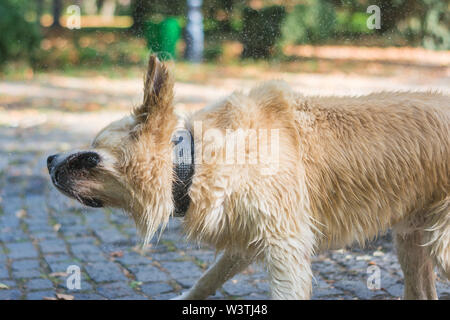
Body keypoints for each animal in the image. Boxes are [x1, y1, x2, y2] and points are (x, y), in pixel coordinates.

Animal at [47, 55, 448, 300]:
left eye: (90, 157)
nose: (49, 159)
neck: (194, 160)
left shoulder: (285, 247)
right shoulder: (245, 240)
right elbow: (206, 279)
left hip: (438, 243)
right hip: (412, 239)